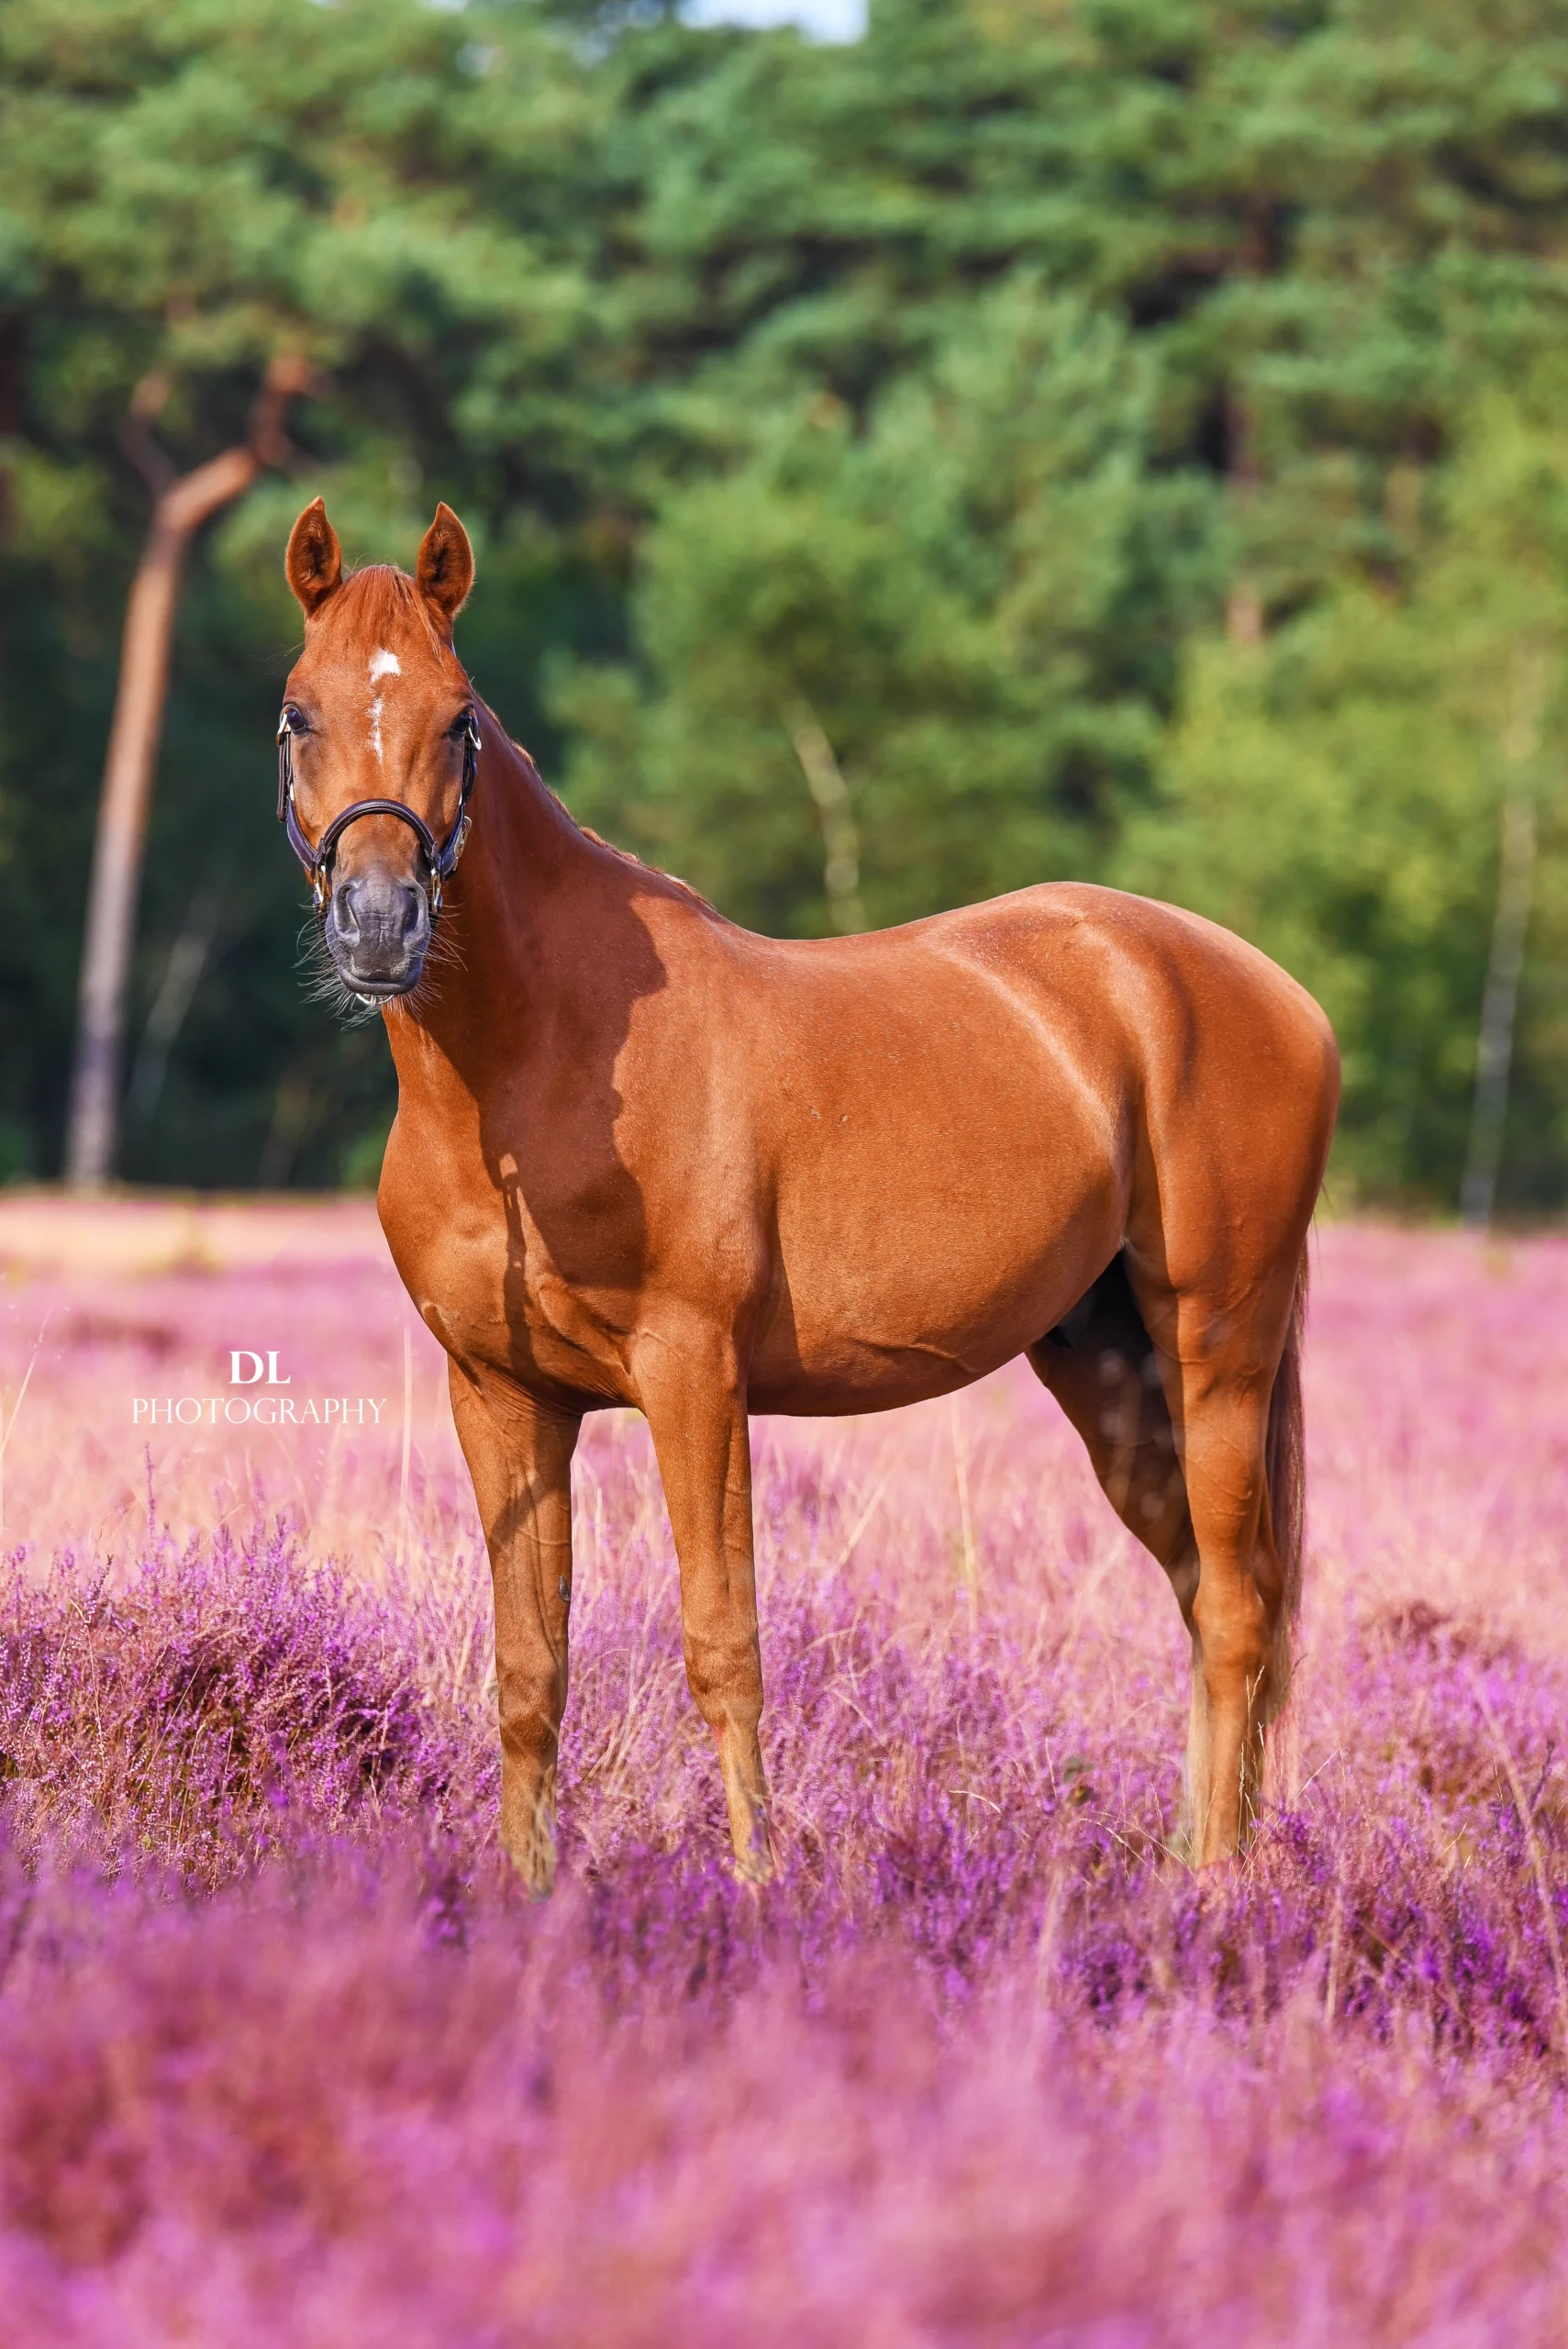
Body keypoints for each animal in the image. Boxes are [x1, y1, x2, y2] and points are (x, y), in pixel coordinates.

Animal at [278, 500, 1333, 1888]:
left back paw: (1213, 1888)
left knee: (1238, 1608)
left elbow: (723, 1647)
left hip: (1217, 1349)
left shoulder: (695, 1379)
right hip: (1109, 1368)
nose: (379, 924)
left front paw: (758, 1888)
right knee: (1209, 1598)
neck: (537, 1057)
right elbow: (529, 1671)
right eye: (297, 713)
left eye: (459, 718)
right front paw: (529, 1895)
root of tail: (1275, 993)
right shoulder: (503, 1398)